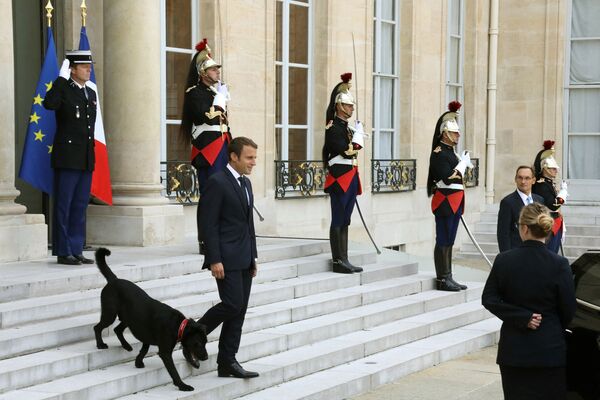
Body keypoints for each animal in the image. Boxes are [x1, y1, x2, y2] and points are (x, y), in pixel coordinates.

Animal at [92, 247, 207, 390]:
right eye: (198, 343)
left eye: (205, 342)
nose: (206, 357)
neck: (178, 325)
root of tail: (114, 280)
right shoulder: (165, 352)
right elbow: (173, 371)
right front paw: (182, 385)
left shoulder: (146, 336)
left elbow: (144, 350)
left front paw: (138, 362)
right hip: (110, 314)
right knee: (97, 327)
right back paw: (100, 344)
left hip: (128, 318)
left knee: (117, 329)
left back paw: (126, 346)